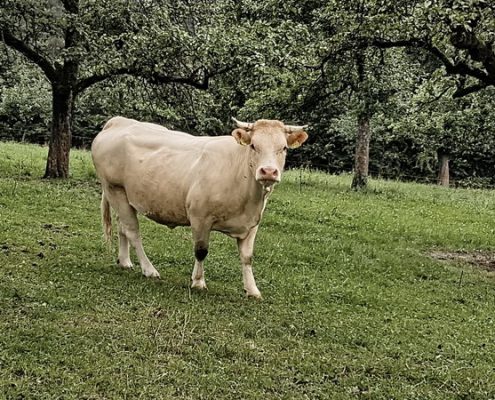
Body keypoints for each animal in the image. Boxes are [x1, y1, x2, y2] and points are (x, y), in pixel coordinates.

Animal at [91, 115, 308, 296]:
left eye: (284, 148)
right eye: (253, 146)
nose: (268, 171)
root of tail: (119, 121)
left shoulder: (253, 223)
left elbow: (247, 257)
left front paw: (252, 290)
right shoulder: (199, 216)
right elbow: (201, 250)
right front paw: (198, 281)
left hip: (123, 196)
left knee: (123, 227)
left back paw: (125, 261)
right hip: (114, 188)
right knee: (133, 231)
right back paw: (149, 269)